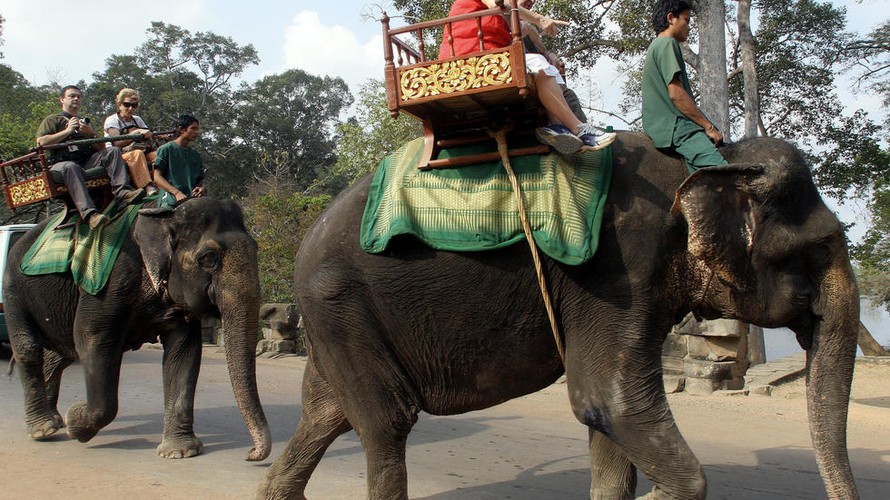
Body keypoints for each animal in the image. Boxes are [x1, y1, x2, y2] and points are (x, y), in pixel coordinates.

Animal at [3, 197, 270, 462]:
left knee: (61, 354)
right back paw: (44, 429)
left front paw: (179, 452)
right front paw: (75, 422)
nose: (250, 454)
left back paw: (55, 421)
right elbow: (91, 339)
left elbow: (184, 351)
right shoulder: (108, 284)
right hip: (13, 288)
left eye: (256, 249)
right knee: (30, 349)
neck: (165, 217)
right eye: (208, 257)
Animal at [258, 133, 860, 500]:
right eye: (822, 246)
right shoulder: (619, 269)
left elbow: (607, 418)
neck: (716, 157)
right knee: (386, 423)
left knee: (326, 415)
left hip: (339, 318)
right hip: (339, 302)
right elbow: (607, 400)